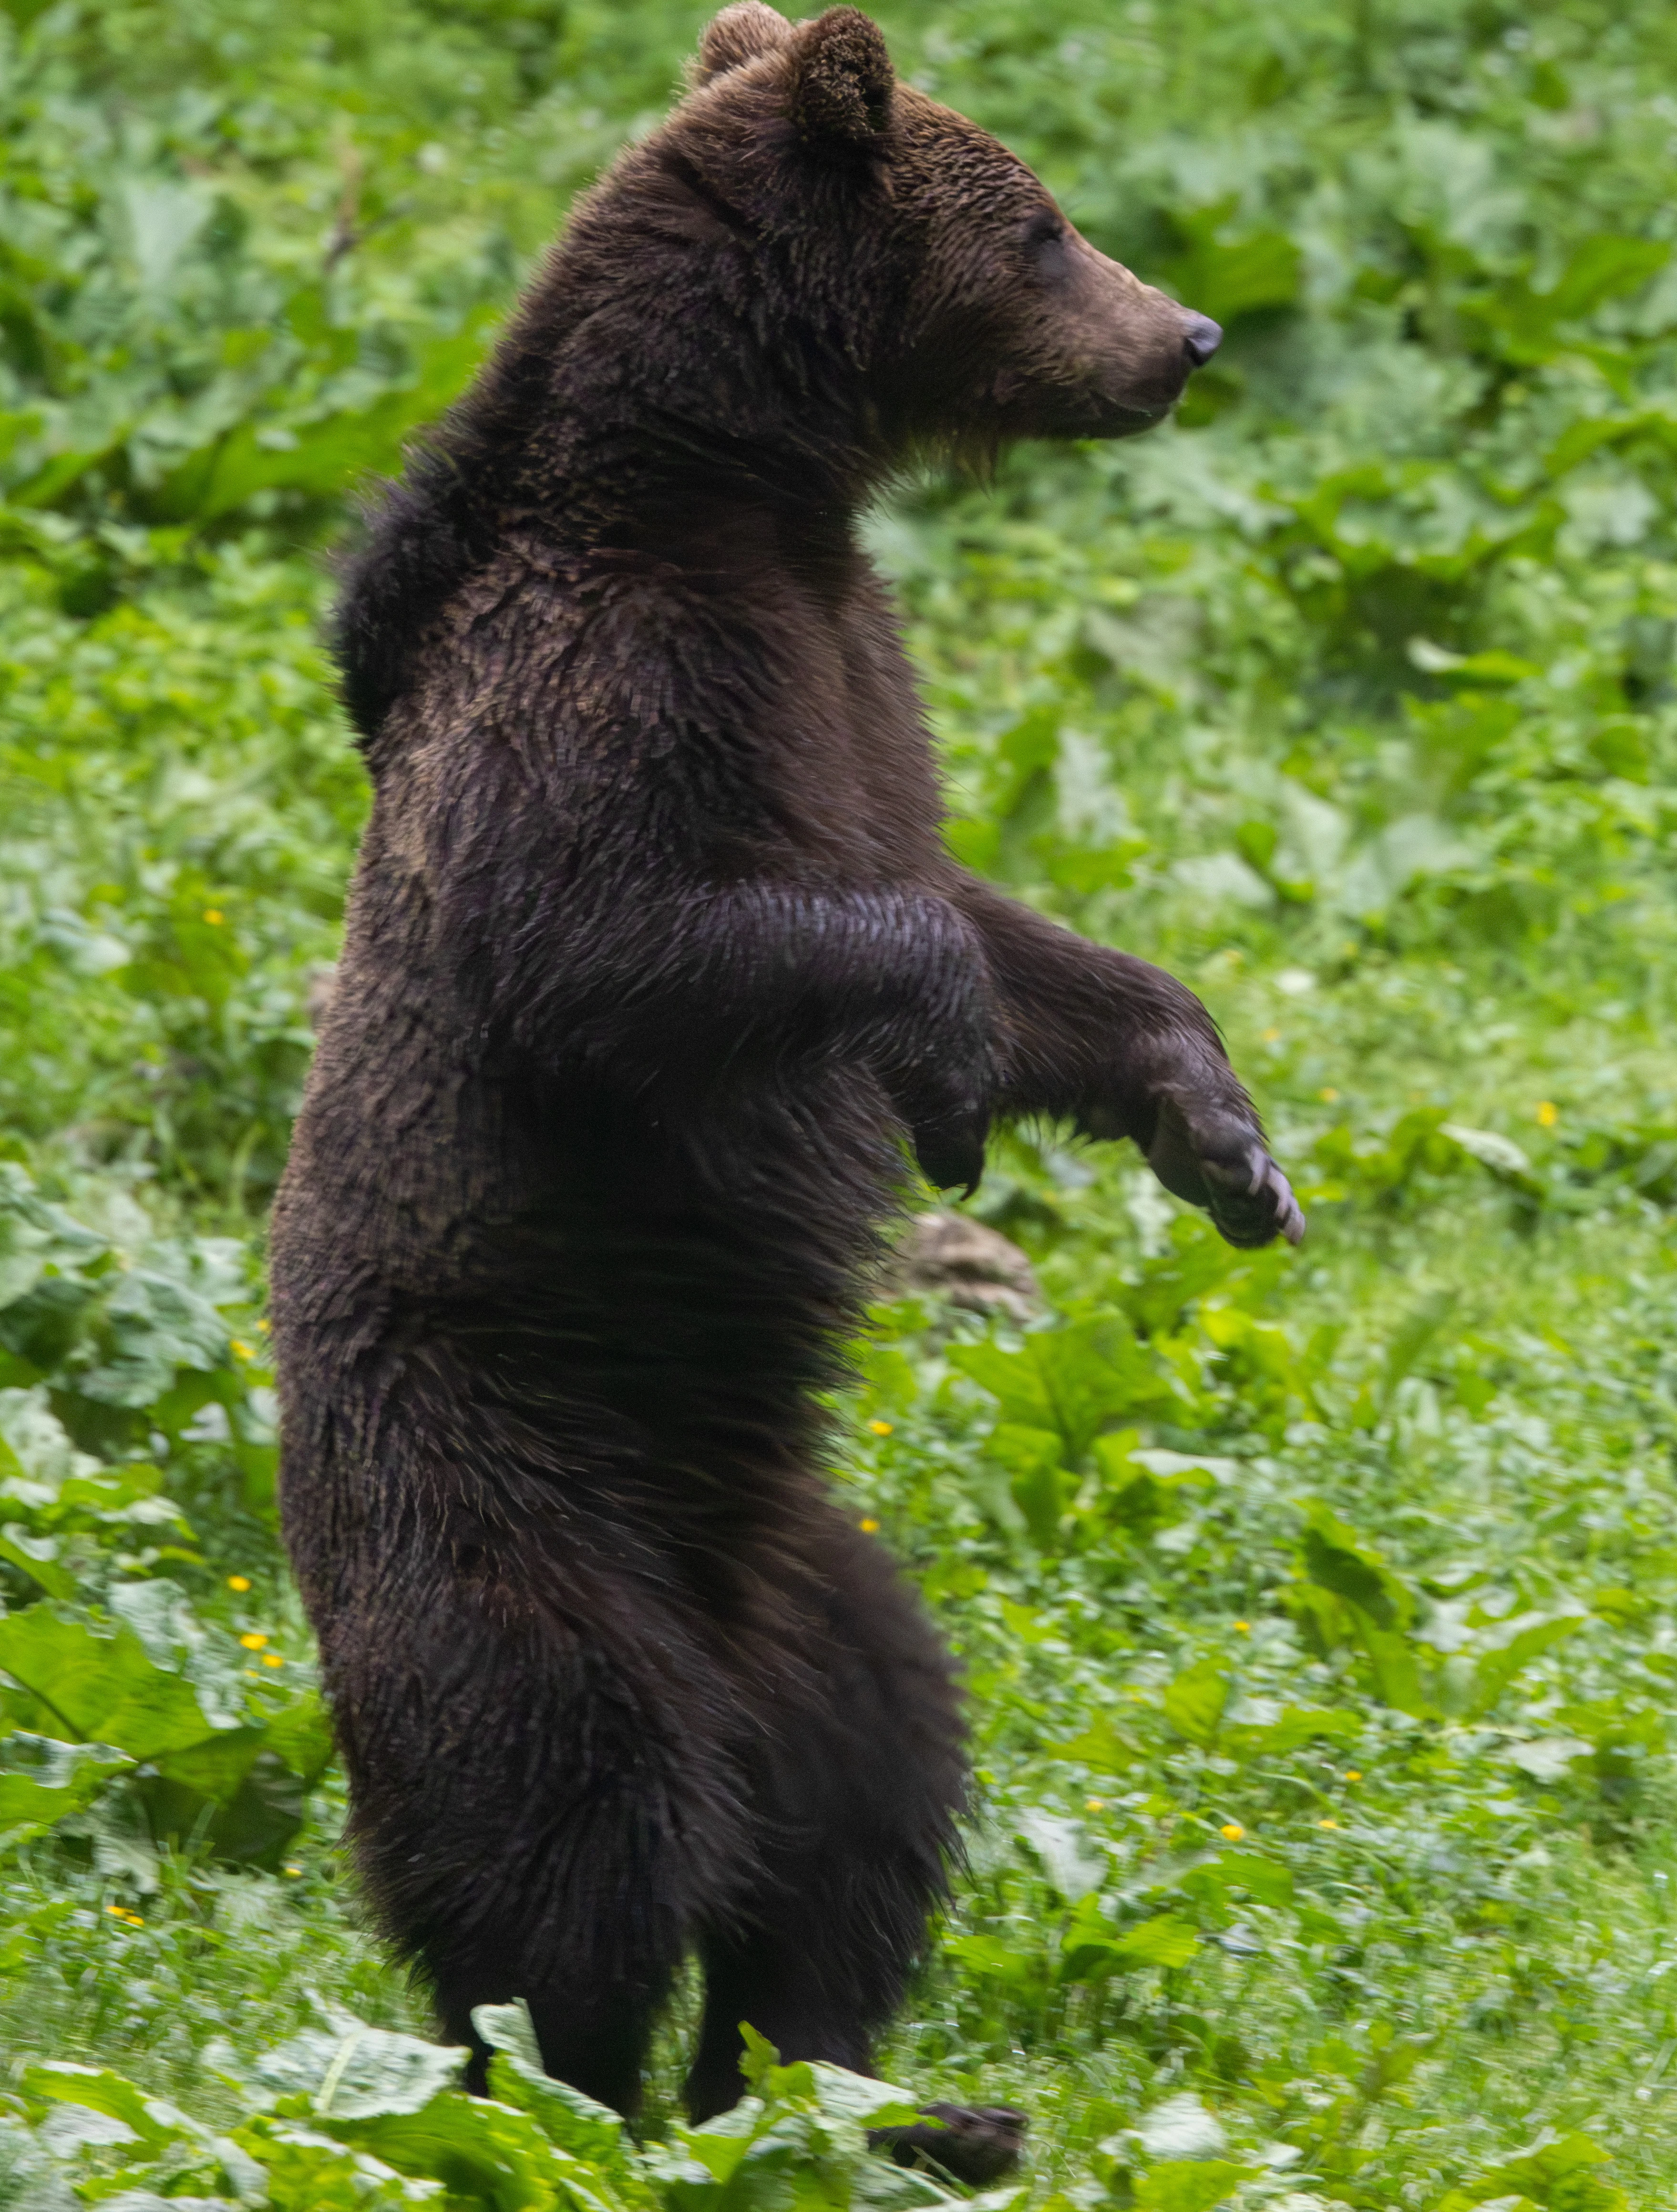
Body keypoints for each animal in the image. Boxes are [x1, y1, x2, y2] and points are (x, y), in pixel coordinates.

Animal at [269, 0, 1302, 2177]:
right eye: (1045, 225)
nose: (1187, 336)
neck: (737, 485)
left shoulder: (859, 666)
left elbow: (994, 910)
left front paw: (1220, 1131)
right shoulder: (610, 688)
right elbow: (634, 942)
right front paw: (948, 1080)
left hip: (811, 1575)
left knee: (864, 1795)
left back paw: (868, 2097)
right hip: (505, 1502)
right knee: (572, 1824)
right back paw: (574, 2102)